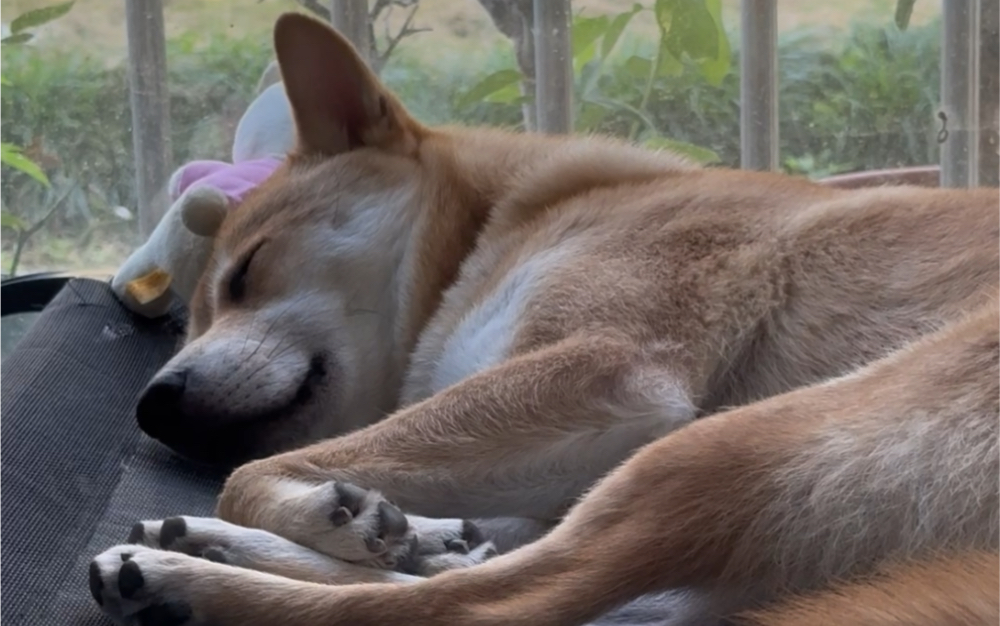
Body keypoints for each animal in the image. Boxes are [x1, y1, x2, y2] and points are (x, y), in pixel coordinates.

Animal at [90, 13, 996, 624]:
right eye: (190, 321)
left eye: (246, 272)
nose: (152, 405)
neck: (497, 227)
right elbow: (474, 520)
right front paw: (410, 528)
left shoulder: (601, 371)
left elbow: (253, 475)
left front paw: (331, 514)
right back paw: (203, 546)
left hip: (730, 445)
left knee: (478, 606)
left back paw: (188, 578)